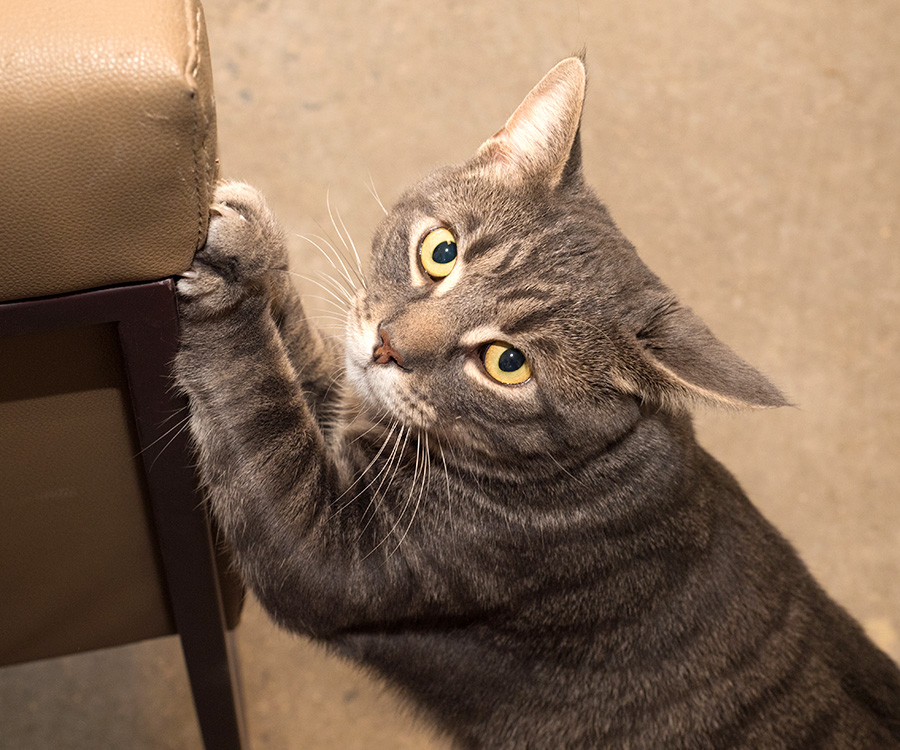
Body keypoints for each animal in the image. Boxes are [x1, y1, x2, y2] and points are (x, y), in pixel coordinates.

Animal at [176, 60, 900, 750]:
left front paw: (232, 281)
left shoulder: (339, 553)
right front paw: (260, 246)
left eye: (508, 362)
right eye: (440, 252)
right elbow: (304, 355)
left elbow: (258, 404)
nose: (386, 346)